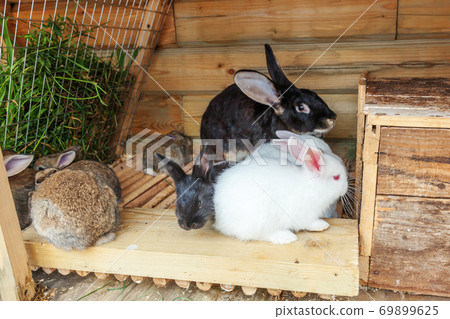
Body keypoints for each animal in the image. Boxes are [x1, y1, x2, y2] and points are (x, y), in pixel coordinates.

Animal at [212, 135, 348, 245]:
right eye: (336, 177)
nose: (346, 187)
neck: (312, 186)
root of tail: (220, 218)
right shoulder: (303, 214)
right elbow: (309, 223)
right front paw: (322, 225)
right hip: (259, 220)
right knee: (259, 235)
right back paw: (286, 237)